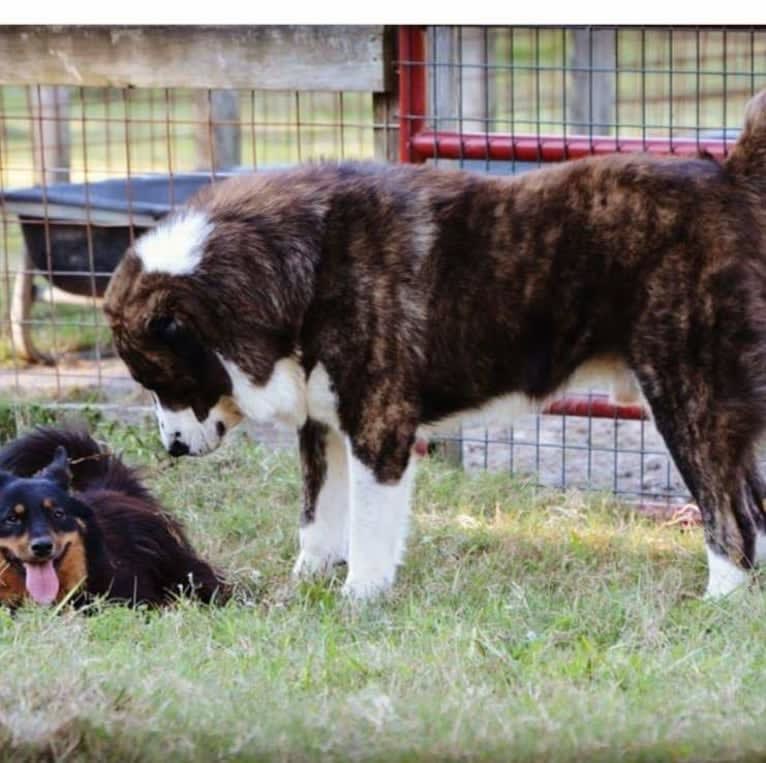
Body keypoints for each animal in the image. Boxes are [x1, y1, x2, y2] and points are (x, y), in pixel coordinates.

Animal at [105, 91, 766, 604]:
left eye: (165, 381)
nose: (171, 449)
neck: (304, 267)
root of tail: (729, 176)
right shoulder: (323, 426)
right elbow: (317, 520)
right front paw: (304, 587)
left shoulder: (378, 431)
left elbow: (368, 528)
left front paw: (359, 599)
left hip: (689, 400)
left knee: (733, 521)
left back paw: (718, 601)